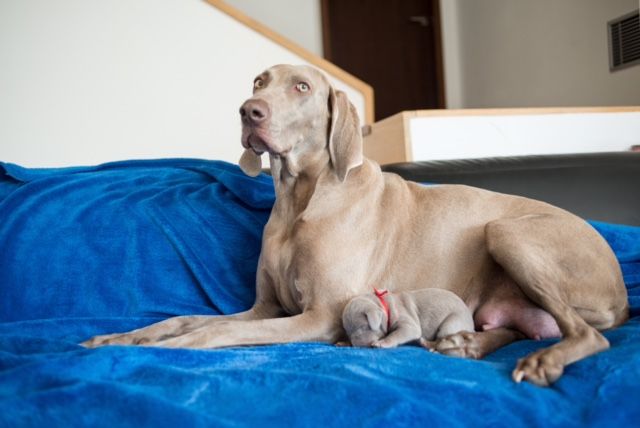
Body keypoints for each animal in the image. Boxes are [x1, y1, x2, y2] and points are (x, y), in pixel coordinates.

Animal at [340, 288, 476, 352]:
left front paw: (382, 343)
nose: (355, 344)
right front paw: (344, 342)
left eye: (363, 327)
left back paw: (428, 344)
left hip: (451, 324)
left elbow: (396, 334)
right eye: (347, 331)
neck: (385, 304)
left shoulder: (408, 324)